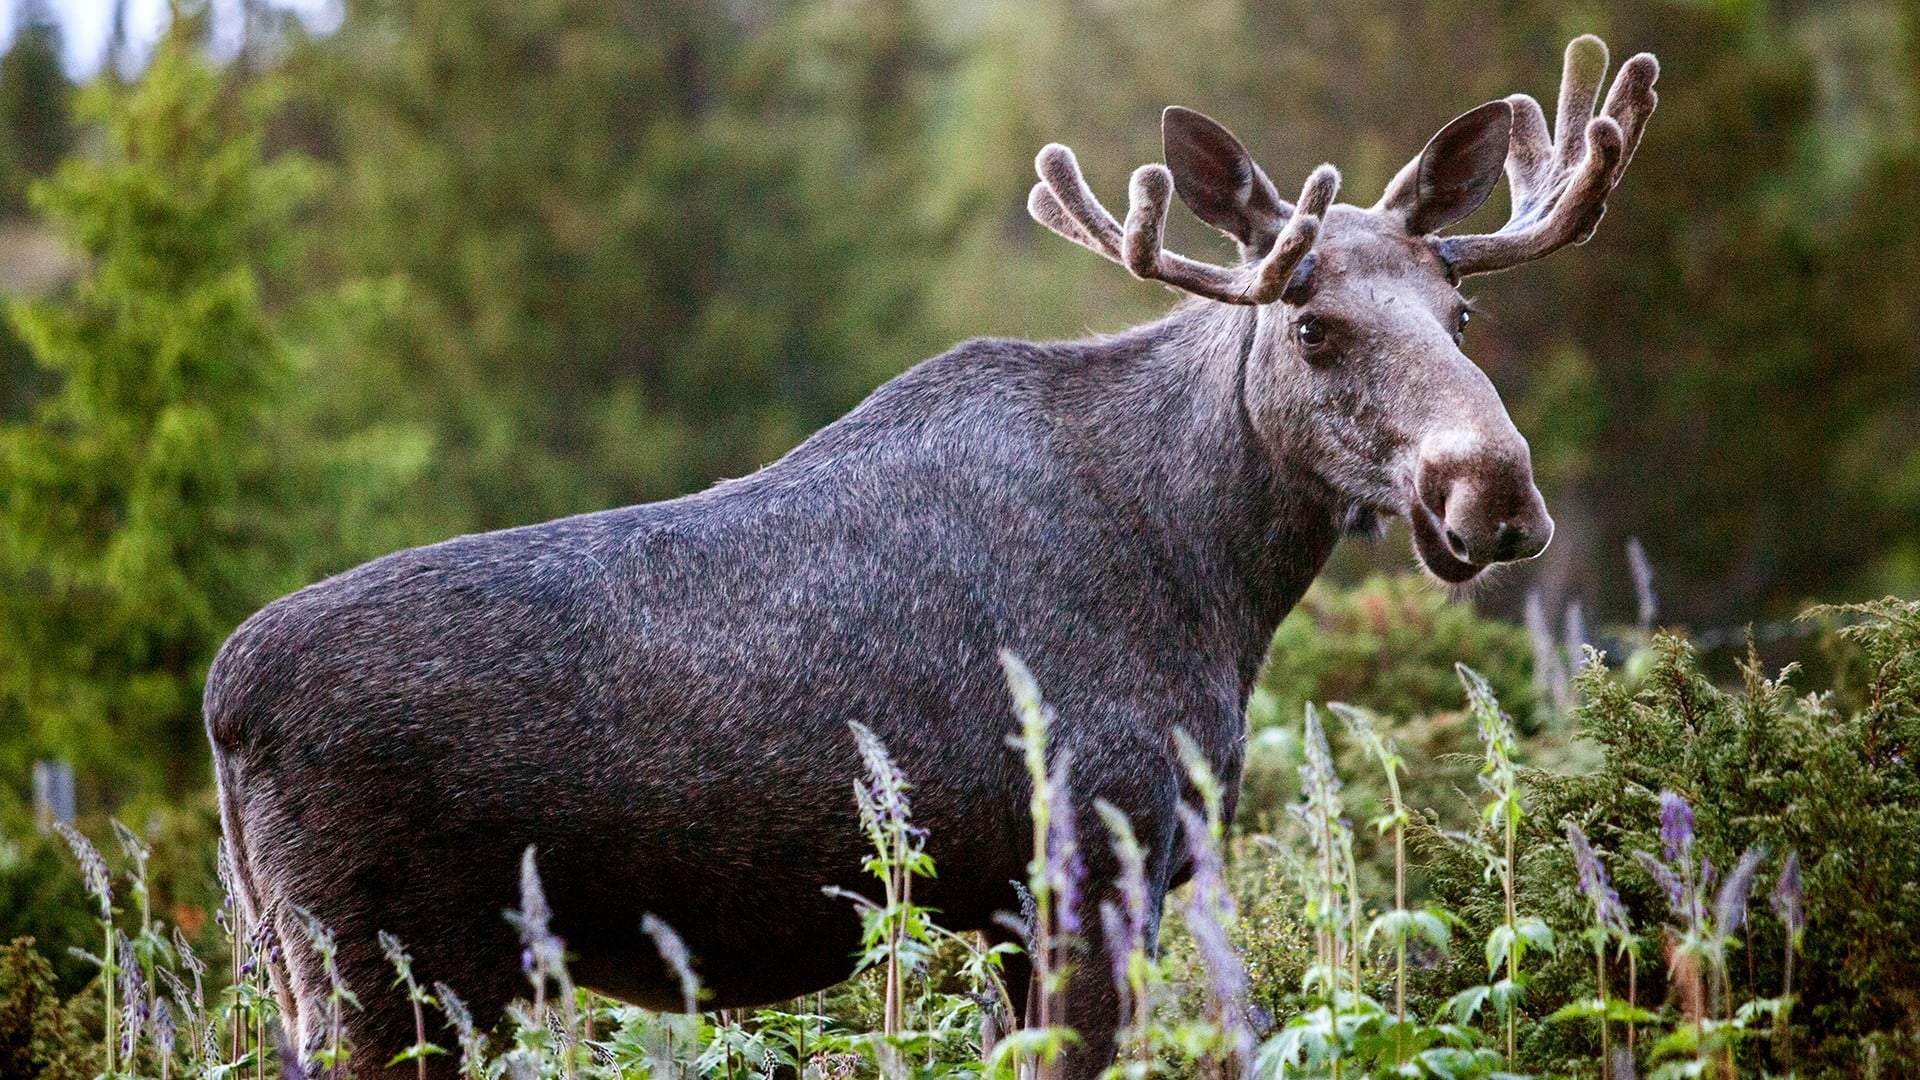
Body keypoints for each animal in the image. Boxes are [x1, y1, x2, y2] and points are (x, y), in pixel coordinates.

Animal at [206, 35, 1651, 1076]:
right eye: (1311, 326)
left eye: (1462, 310)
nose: (1493, 491)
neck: (1217, 581)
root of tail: (224, 708)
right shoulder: (1085, 861)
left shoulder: (1017, 905)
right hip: (387, 978)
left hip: (314, 975)